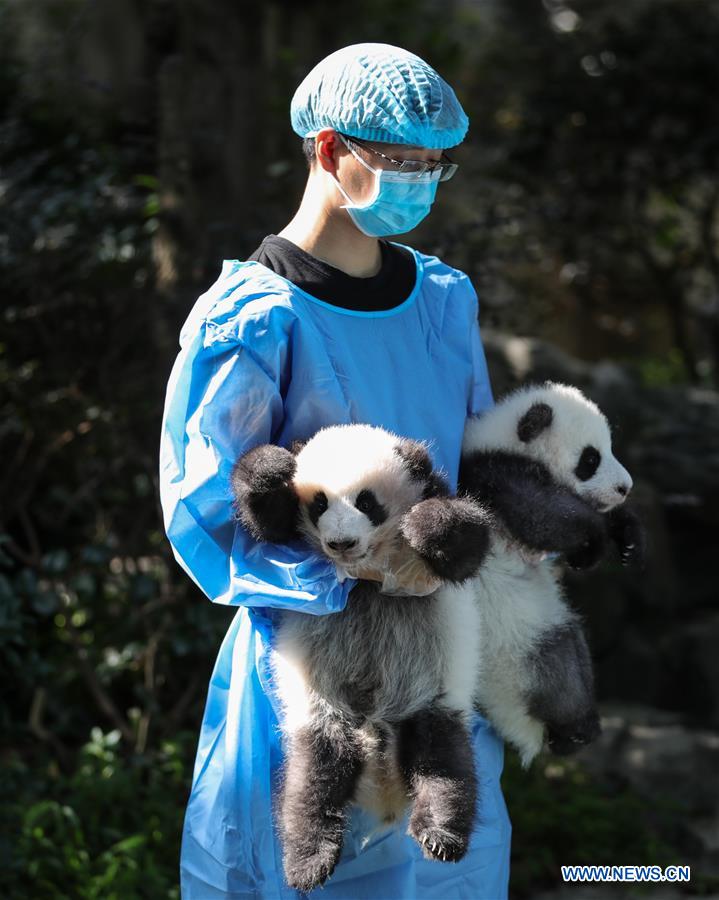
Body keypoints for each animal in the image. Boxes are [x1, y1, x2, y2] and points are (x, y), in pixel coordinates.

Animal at [230, 424, 491, 893]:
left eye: (367, 502)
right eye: (319, 504)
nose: (341, 543)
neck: (366, 577)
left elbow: (468, 541)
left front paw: (423, 524)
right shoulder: (289, 541)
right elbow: (267, 525)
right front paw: (272, 468)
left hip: (431, 696)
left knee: (444, 761)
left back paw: (441, 833)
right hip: (322, 709)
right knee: (313, 778)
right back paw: (308, 860)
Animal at [455, 381, 645, 767]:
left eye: (609, 447)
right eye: (591, 459)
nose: (625, 488)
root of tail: (517, 722)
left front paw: (626, 536)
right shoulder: (493, 478)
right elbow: (541, 517)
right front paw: (594, 542)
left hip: (551, 623)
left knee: (575, 646)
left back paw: (578, 731)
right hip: (517, 651)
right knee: (561, 679)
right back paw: (575, 729)